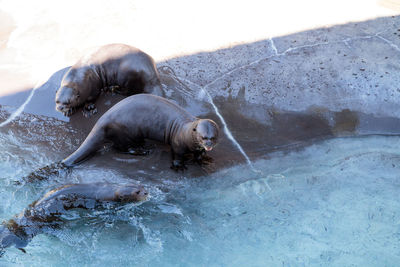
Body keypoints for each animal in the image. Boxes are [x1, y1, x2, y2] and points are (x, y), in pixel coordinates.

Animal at [61, 94, 220, 170]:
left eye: (213, 137)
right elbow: (177, 155)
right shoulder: (177, 143)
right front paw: (178, 166)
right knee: (120, 147)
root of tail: (102, 120)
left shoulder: (198, 149)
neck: (186, 132)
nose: (209, 145)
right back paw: (142, 150)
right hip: (125, 131)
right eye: (203, 137)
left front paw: (204, 160)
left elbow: (199, 156)